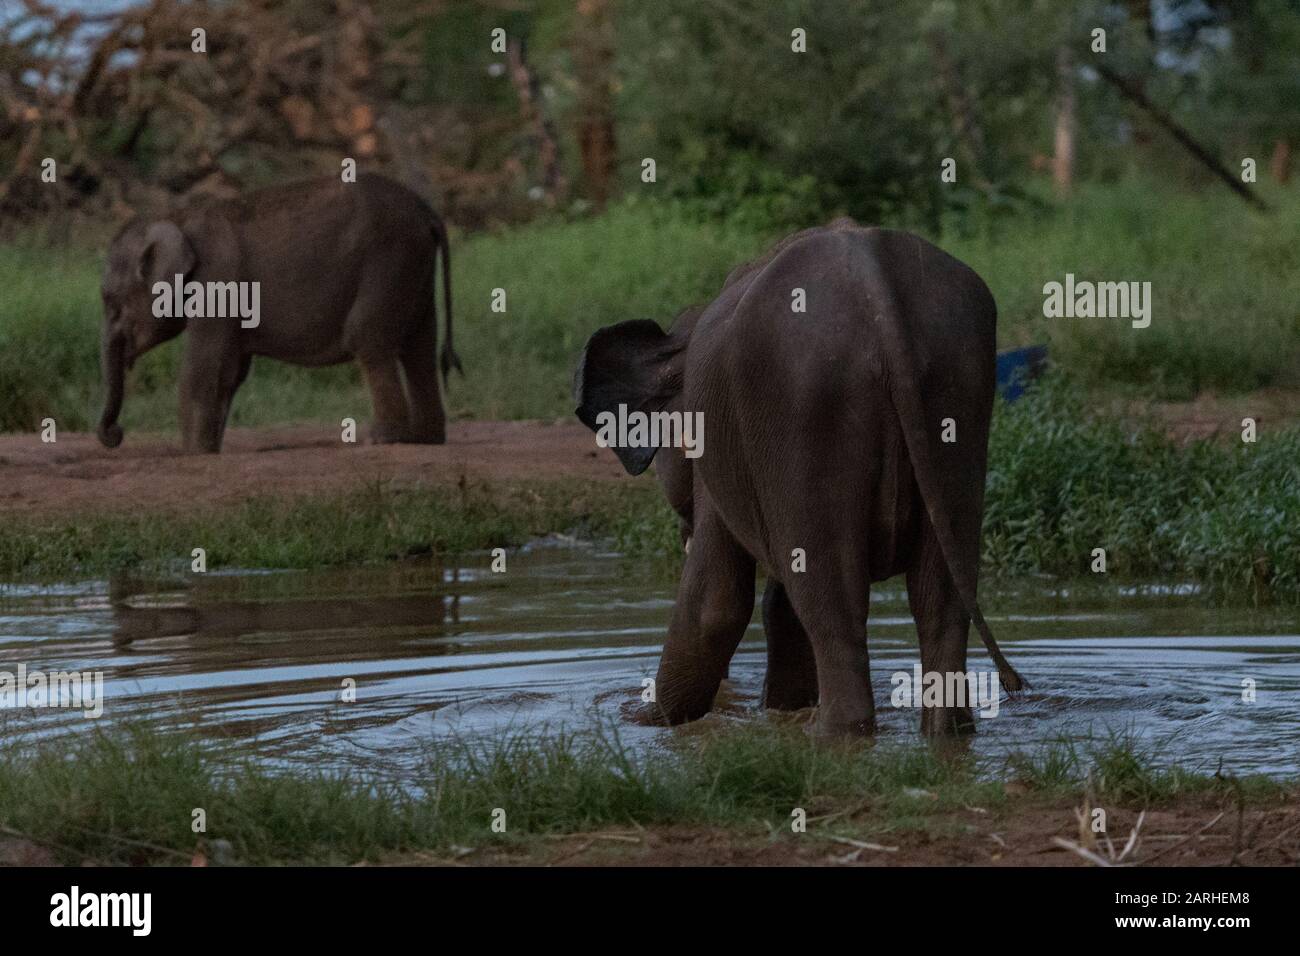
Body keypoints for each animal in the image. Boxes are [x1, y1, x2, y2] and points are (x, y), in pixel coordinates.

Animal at [97, 174, 462, 455]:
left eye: (111, 302)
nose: (116, 434)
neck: (177, 216)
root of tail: (426, 210)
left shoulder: (216, 280)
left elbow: (203, 368)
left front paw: (193, 454)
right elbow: (230, 372)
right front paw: (209, 450)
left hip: (388, 260)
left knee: (369, 338)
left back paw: (382, 440)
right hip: (414, 270)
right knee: (420, 347)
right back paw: (427, 440)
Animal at [579, 221, 1024, 738]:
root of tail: (876, 285)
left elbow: (716, 603)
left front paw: (641, 720)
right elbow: (778, 601)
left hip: (806, 404)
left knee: (833, 604)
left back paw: (830, 735)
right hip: (956, 392)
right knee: (940, 596)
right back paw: (945, 733)